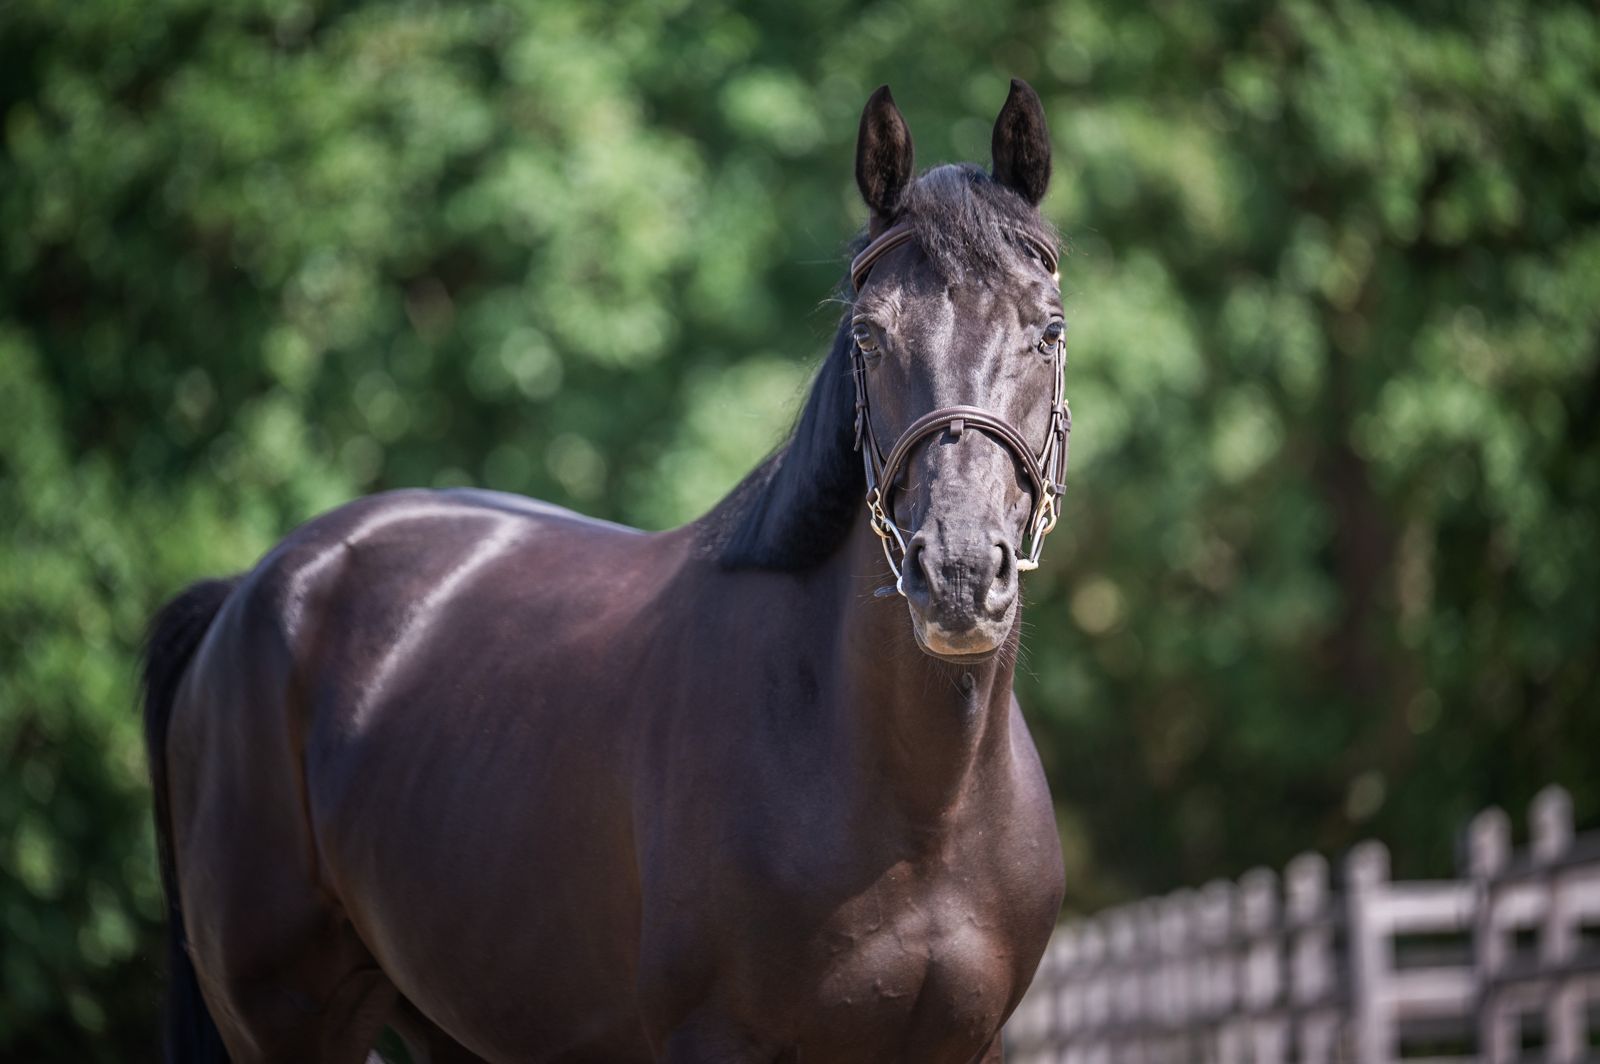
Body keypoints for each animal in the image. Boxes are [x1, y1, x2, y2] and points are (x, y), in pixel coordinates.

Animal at [142, 79, 1070, 1063]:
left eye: (1048, 331)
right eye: (867, 335)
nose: (959, 573)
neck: (917, 806)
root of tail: (251, 593)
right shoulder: (713, 1039)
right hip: (288, 1017)